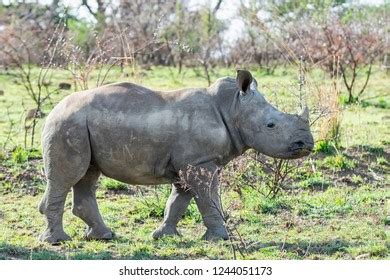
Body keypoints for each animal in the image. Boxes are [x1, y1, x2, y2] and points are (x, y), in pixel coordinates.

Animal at [38, 69, 314, 243]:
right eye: (271, 125)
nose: (307, 144)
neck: (233, 106)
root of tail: (54, 110)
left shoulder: (195, 162)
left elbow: (179, 201)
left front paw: (163, 236)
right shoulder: (199, 162)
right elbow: (207, 199)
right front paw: (220, 238)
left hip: (79, 126)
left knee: (87, 176)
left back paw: (103, 236)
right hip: (68, 125)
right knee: (66, 179)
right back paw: (57, 241)